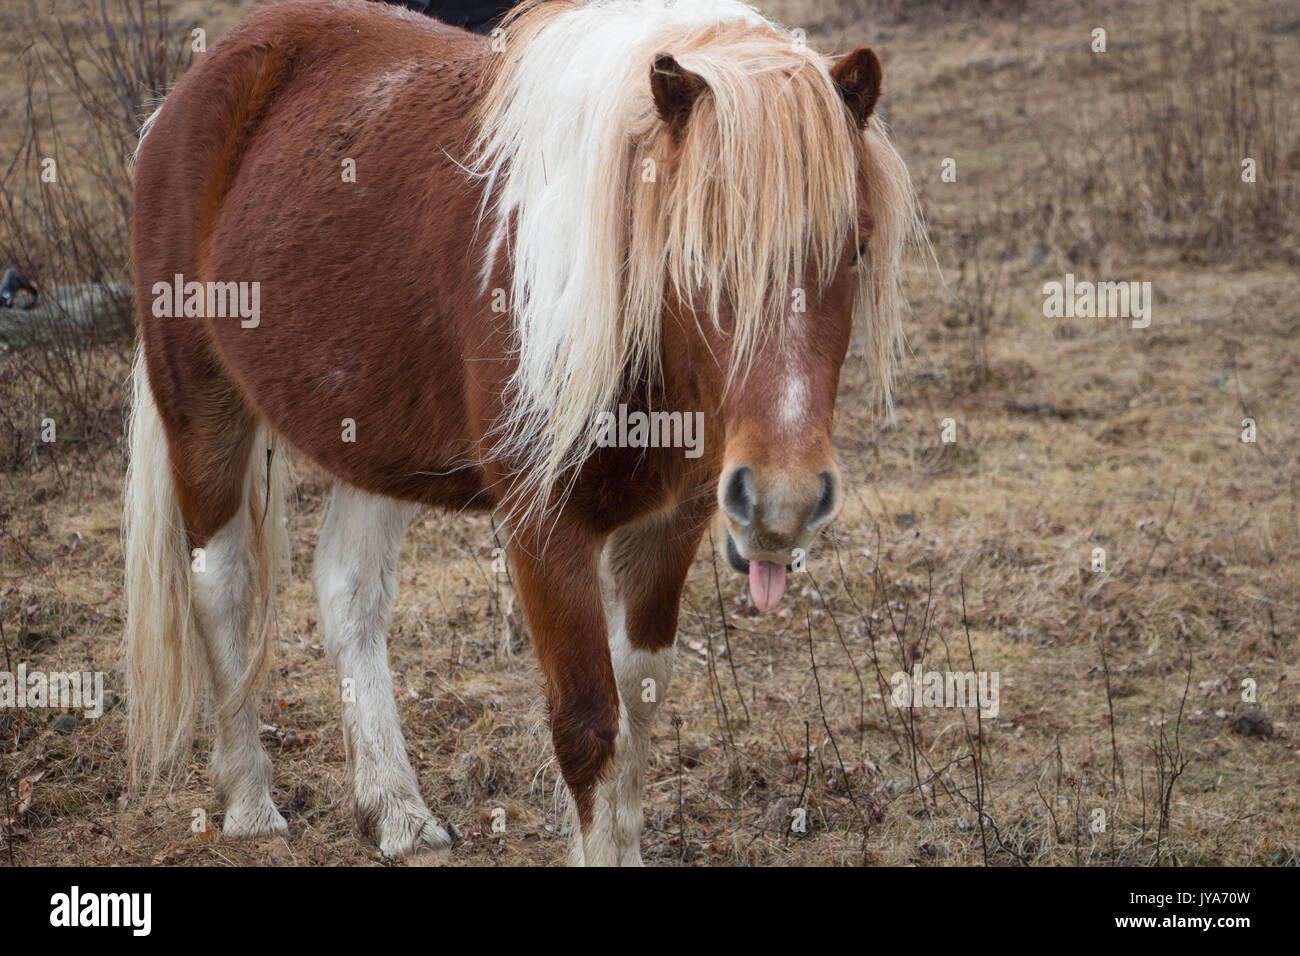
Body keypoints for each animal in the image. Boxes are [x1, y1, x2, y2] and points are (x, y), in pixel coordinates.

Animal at [122, 0, 915, 868]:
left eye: (858, 248)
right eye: (695, 251)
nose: (783, 502)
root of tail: (191, 89)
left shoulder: (674, 520)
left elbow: (639, 706)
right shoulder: (543, 525)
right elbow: (588, 721)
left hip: (370, 437)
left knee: (349, 597)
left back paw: (397, 813)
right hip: (202, 406)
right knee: (221, 584)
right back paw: (250, 803)